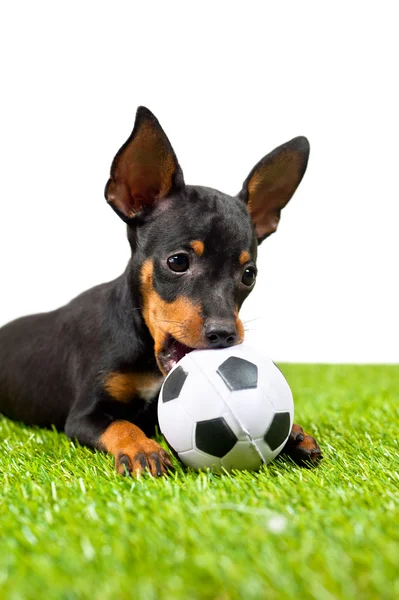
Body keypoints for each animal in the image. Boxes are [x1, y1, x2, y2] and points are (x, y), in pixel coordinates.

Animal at [0, 106, 322, 474]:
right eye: (178, 262)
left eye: (249, 275)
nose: (225, 334)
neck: (146, 349)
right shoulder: (84, 415)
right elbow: (121, 424)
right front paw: (142, 449)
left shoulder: (157, 412)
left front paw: (293, 433)